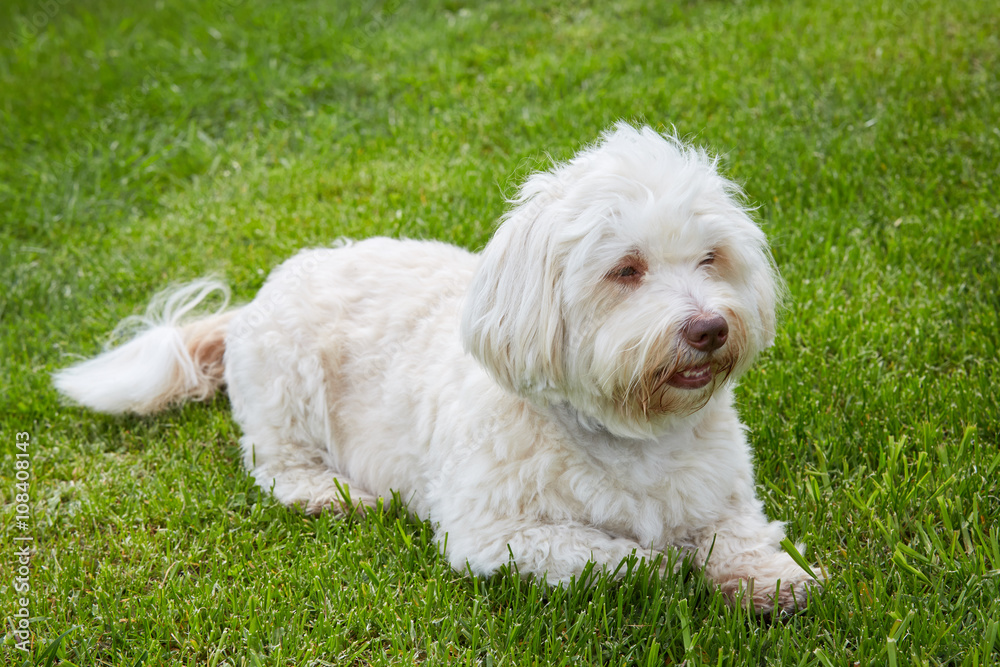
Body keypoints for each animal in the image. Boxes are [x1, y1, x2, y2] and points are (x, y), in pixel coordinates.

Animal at [56, 122, 820, 612]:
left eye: (711, 258)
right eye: (626, 269)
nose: (710, 327)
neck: (629, 431)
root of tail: (254, 301)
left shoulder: (725, 494)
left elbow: (741, 533)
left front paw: (771, 579)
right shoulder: (496, 535)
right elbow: (613, 553)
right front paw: (668, 565)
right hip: (287, 387)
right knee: (274, 464)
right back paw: (332, 493)